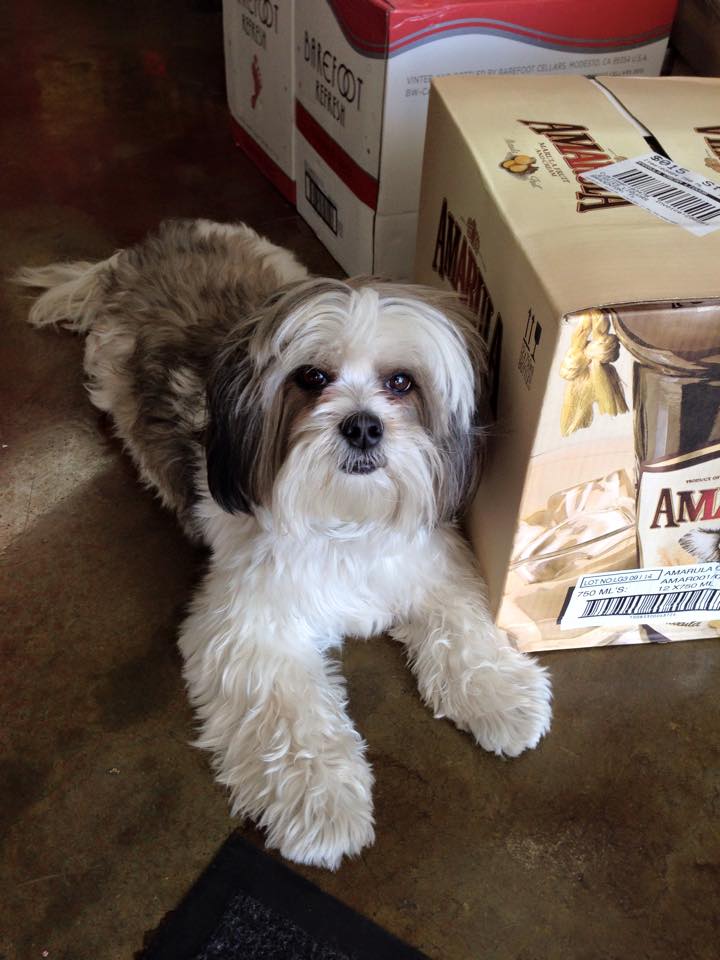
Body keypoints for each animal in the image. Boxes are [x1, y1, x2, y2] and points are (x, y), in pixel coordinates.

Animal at [16, 219, 552, 869]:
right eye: (312, 378)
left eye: (401, 382)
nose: (363, 424)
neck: (341, 518)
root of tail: (151, 244)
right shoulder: (247, 629)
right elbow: (289, 719)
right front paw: (321, 802)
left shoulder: (429, 562)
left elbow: (464, 626)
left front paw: (499, 692)